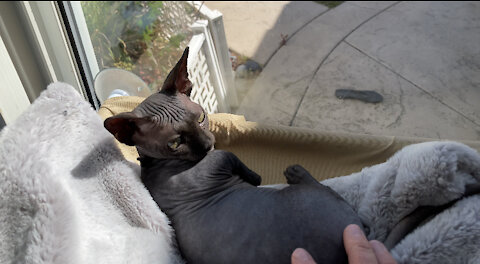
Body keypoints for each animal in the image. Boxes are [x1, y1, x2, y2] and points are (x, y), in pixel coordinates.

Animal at [104, 48, 364, 262]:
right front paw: (256, 178)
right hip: (311, 199)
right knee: (327, 191)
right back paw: (295, 172)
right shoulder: (219, 161)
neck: (157, 164)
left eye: (201, 117)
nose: (208, 144)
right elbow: (235, 160)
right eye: (175, 143)